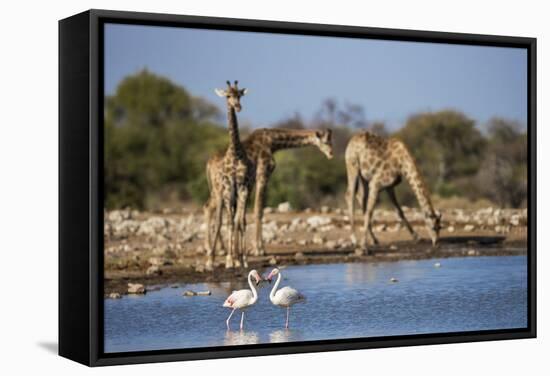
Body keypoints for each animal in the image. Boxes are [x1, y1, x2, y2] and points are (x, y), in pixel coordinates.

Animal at [205, 126, 334, 264]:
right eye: (326, 141)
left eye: (331, 140)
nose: (331, 154)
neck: (272, 142)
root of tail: (208, 164)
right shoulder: (263, 174)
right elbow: (258, 210)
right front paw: (259, 249)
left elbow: (248, 214)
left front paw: (251, 250)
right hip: (220, 190)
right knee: (212, 210)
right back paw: (215, 250)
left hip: (220, 191)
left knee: (209, 208)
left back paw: (216, 249)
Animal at [209, 81, 256, 268]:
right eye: (228, 96)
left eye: (240, 95)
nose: (238, 107)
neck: (235, 153)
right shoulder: (229, 188)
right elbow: (230, 223)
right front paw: (230, 259)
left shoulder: (243, 188)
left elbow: (239, 222)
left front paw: (241, 259)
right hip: (222, 194)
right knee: (221, 220)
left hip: (242, 194)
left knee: (239, 220)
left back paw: (239, 257)